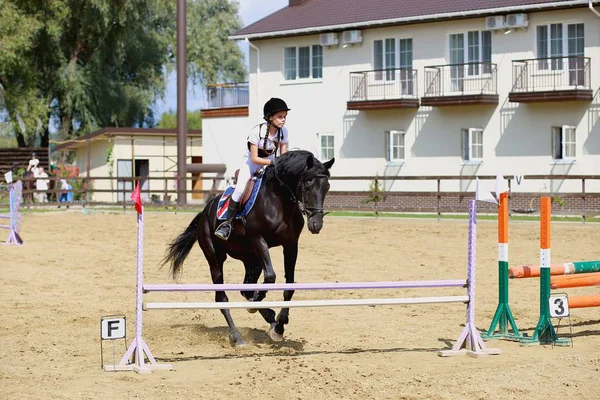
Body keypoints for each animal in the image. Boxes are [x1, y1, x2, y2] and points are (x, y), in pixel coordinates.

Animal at [162, 152, 336, 346]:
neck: (280, 201)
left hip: (251, 260)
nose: (316, 224)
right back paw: (237, 336)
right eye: (307, 185)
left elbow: (288, 286)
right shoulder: (258, 239)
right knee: (222, 298)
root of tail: (205, 212)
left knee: (246, 289)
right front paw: (257, 306)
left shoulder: (291, 245)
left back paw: (270, 318)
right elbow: (271, 276)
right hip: (216, 258)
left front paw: (279, 325)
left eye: (327, 186)